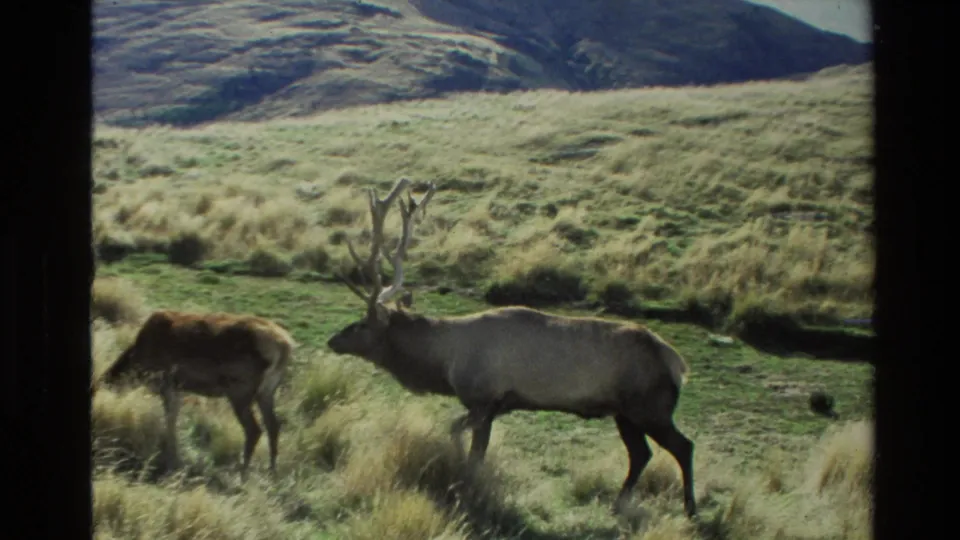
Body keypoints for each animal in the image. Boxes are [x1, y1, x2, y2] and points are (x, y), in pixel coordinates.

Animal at [92, 310, 297, 481]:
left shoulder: (168, 385)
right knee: (273, 425)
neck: (138, 365)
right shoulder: (178, 390)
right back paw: (272, 471)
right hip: (267, 391)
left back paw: (242, 473)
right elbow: (172, 421)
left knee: (254, 429)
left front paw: (171, 460)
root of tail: (285, 346)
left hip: (240, 390)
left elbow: (170, 422)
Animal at [324, 177, 698, 518]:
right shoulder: (497, 406)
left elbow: (467, 444)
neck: (444, 363)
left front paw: (468, 482)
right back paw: (618, 504)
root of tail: (678, 364)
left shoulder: (483, 398)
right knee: (641, 454)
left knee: (683, 446)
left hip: (650, 407)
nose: (332, 340)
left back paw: (690, 509)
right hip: (625, 413)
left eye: (362, 324)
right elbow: (466, 439)